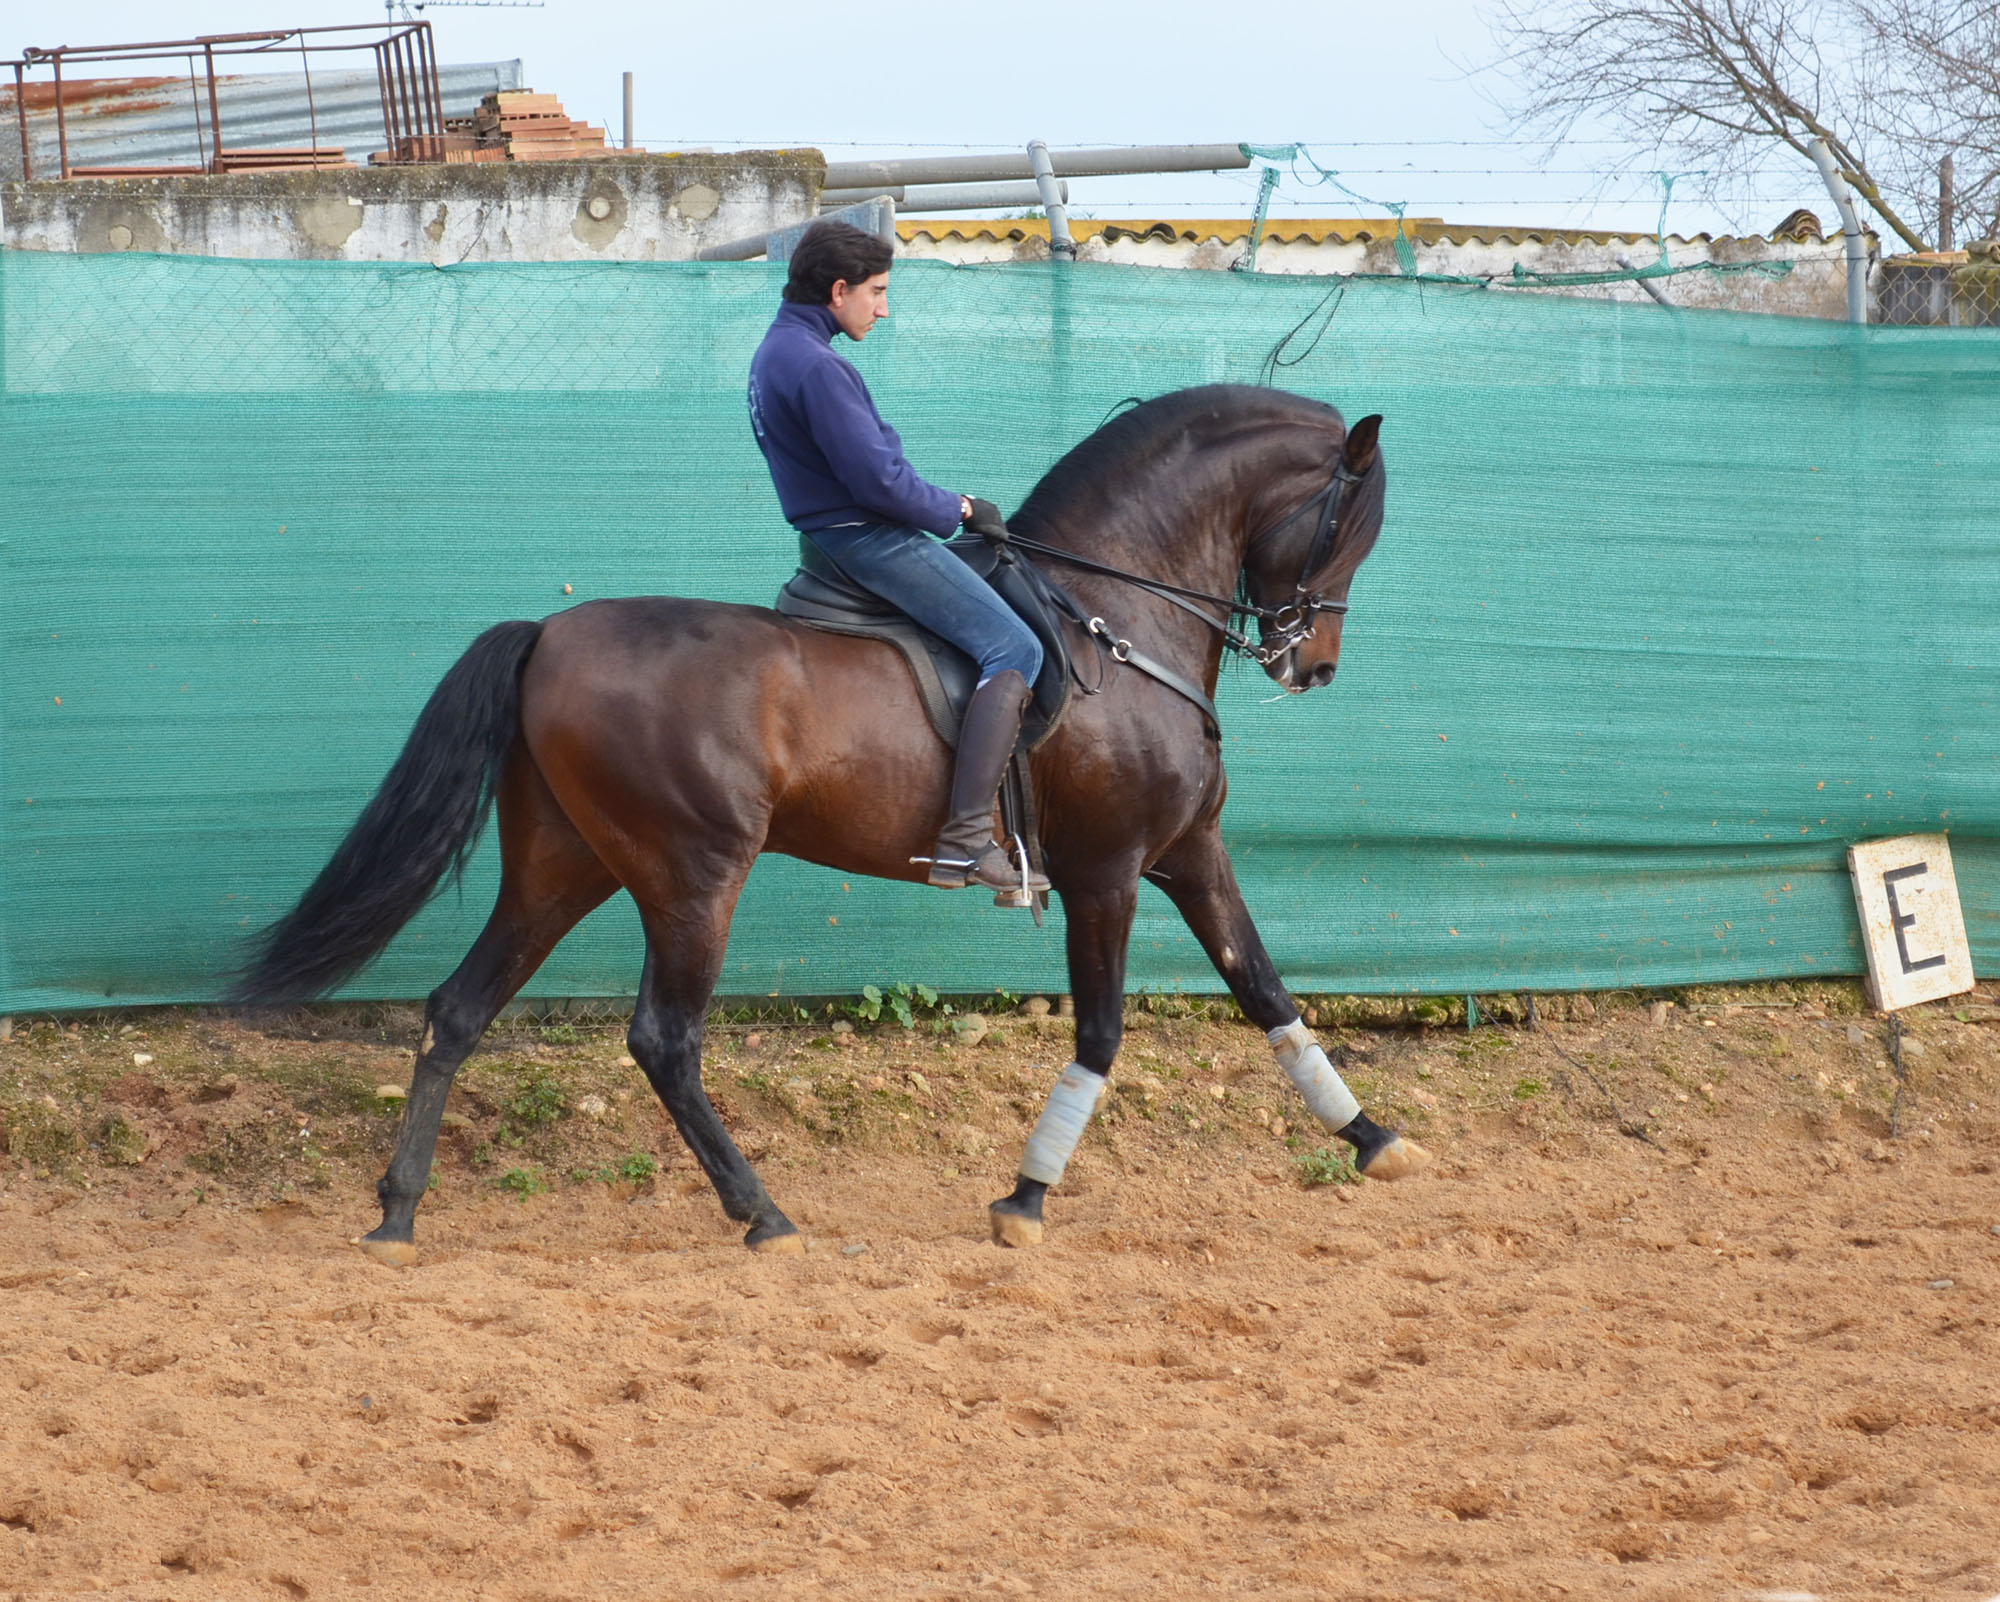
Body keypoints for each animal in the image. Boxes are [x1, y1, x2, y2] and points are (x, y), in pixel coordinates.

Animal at [230, 388, 1424, 1264]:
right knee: (663, 1041)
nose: (1312, 665)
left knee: (459, 1010)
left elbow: (1265, 990)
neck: (1115, 622)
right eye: (1346, 528)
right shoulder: (1109, 871)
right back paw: (762, 1215)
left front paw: (1371, 1139)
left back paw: (397, 1213)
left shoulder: (1189, 854)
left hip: (561, 869)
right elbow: (1100, 1031)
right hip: (693, 873)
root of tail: (549, 635)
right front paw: (1025, 1198)